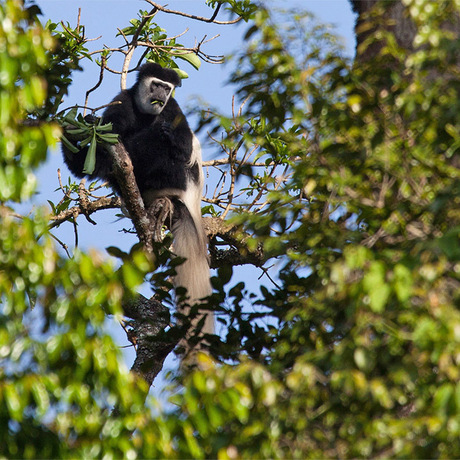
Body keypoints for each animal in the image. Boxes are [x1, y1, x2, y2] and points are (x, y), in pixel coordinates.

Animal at [62, 63, 215, 338]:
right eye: (156, 84)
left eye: (167, 88)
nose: (161, 95)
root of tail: (188, 199)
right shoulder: (122, 102)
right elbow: (111, 133)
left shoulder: (173, 109)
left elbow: (183, 145)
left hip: (176, 175)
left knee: (163, 142)